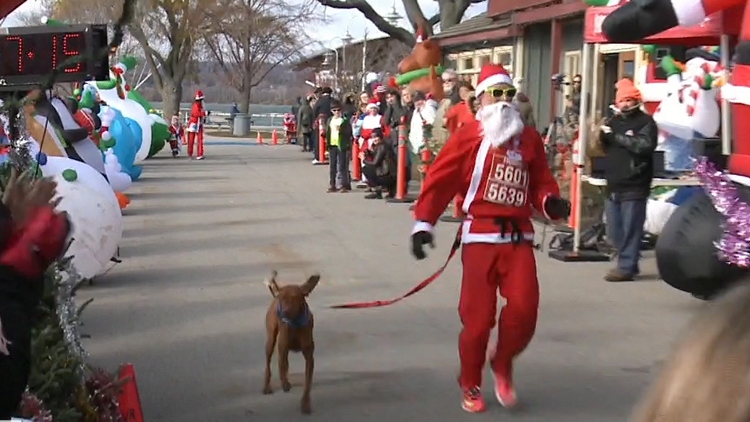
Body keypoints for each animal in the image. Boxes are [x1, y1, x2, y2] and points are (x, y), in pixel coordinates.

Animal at [264, 272, 320, 414]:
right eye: (282, 298)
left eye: (295, 298)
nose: (284, 312)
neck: (295, 323)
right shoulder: (282, 348)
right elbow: (281, 367)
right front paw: (284, 383)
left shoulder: (309, 357)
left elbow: (307, 384)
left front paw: (305, 404)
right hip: (271, 341)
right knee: (269, 365)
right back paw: (267, 386)